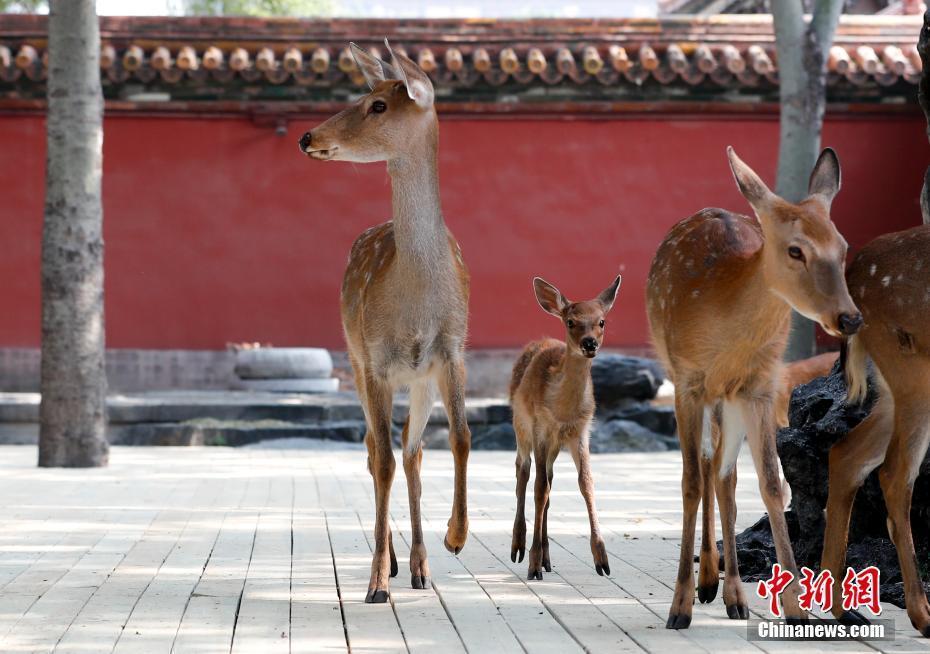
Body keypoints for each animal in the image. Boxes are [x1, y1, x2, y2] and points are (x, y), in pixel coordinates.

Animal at [300, 39, 472, 604]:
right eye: (362, 93)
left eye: (377, 104)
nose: (308, 137)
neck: (416, 302)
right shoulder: (375, 358)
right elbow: (383, 461)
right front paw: (376, 581)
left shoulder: (451, 350)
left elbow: (459, 438)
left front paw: (455, 536)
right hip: (353, 359)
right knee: (376, 449)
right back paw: (392, 564)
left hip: (416, 380)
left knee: (410, 450)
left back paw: (419, 565)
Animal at [504, 274, 620, 580]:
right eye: (570, 321)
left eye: (602, 321)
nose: (589, 343)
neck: (562, 412)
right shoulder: (541, 428)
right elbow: (538, 488)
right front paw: (532, 563)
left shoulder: (581, 432)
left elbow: (586, 483)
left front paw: (602, 559)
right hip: (521, 425)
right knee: (523, 471)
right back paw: (519, 548)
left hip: (555, 445)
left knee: (549, 480)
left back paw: (546, 558)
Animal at [644, 147, 864, 632]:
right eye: (795, 249)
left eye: (842, 247)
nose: (850, 318)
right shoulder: (687, 382)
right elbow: (689, 482)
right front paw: (678, 607)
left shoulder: (761, 387)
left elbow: (771, 483)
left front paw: (797, 608)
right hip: (699, 387)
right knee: (707, 468)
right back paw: (706, 583)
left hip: (731, 398)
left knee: (724, 474)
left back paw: (728, 592)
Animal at [820, 224, 928, 636]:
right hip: (910, 365)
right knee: (894, 473)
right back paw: (922, 615)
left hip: (892, 387)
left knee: (847, 454)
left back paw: (842, 609)